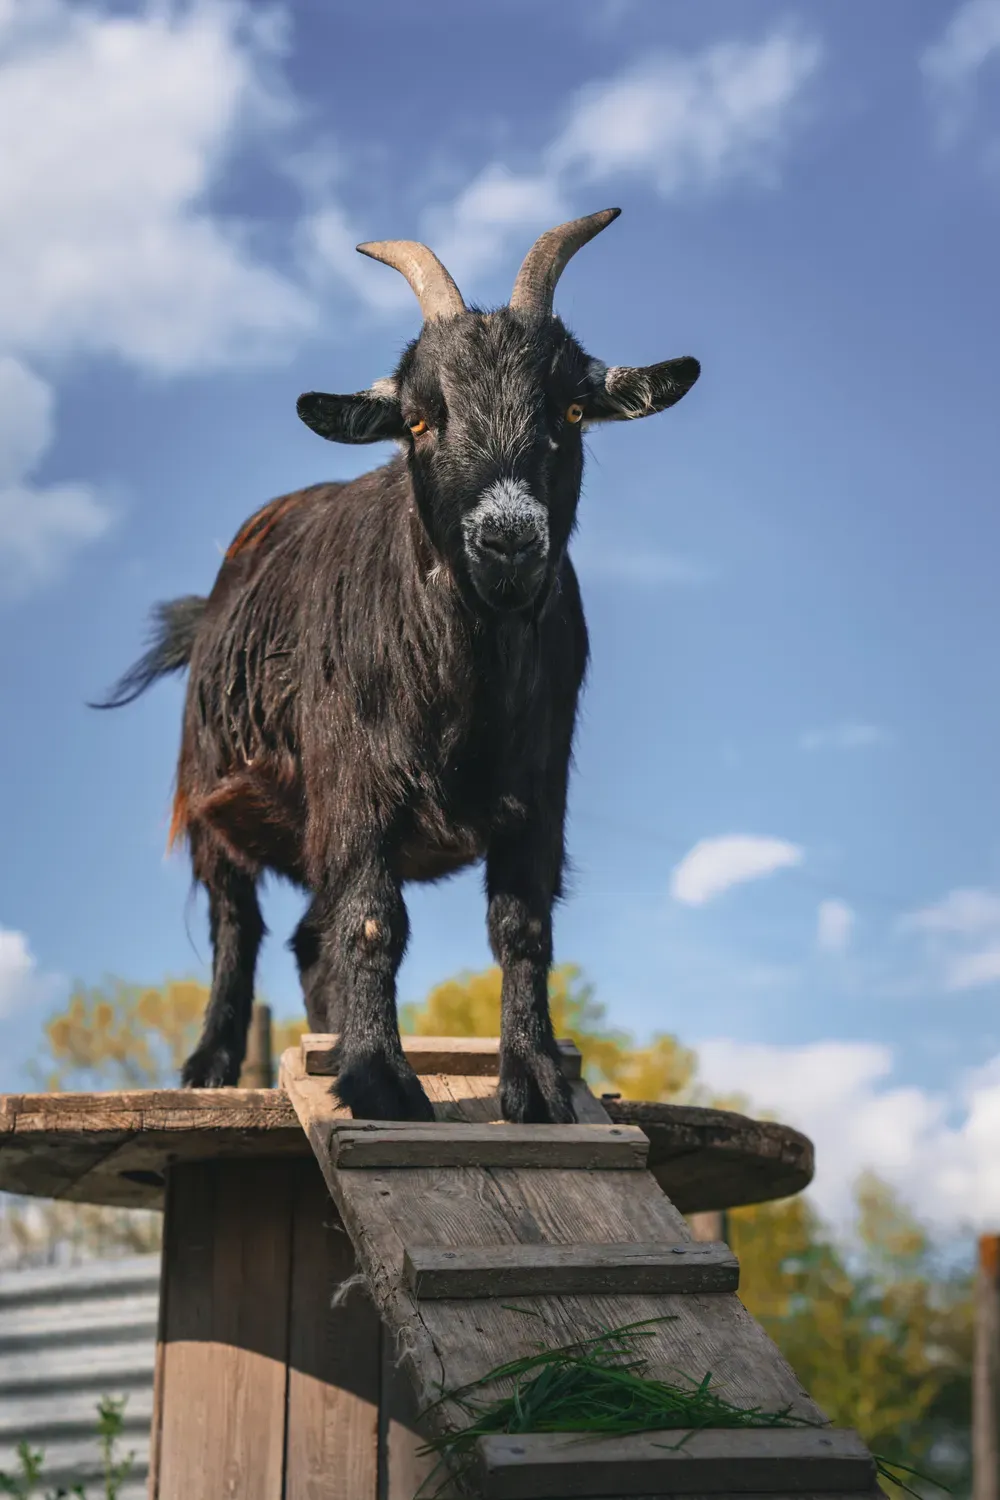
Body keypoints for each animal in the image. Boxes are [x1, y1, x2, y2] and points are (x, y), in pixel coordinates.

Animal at [96, 208, 700, 1124]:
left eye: (570, 409)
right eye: (420, 420)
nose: (508, 540)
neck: (464, 681)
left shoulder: (541, 785)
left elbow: (522, 927)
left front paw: (535, 1083)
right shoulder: (353, 779)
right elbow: (374, 920)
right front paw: (382, 1080)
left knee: (309, 937)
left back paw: (324, 1042)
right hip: (210, 792)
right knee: (239, 926)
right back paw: (210, 1064)